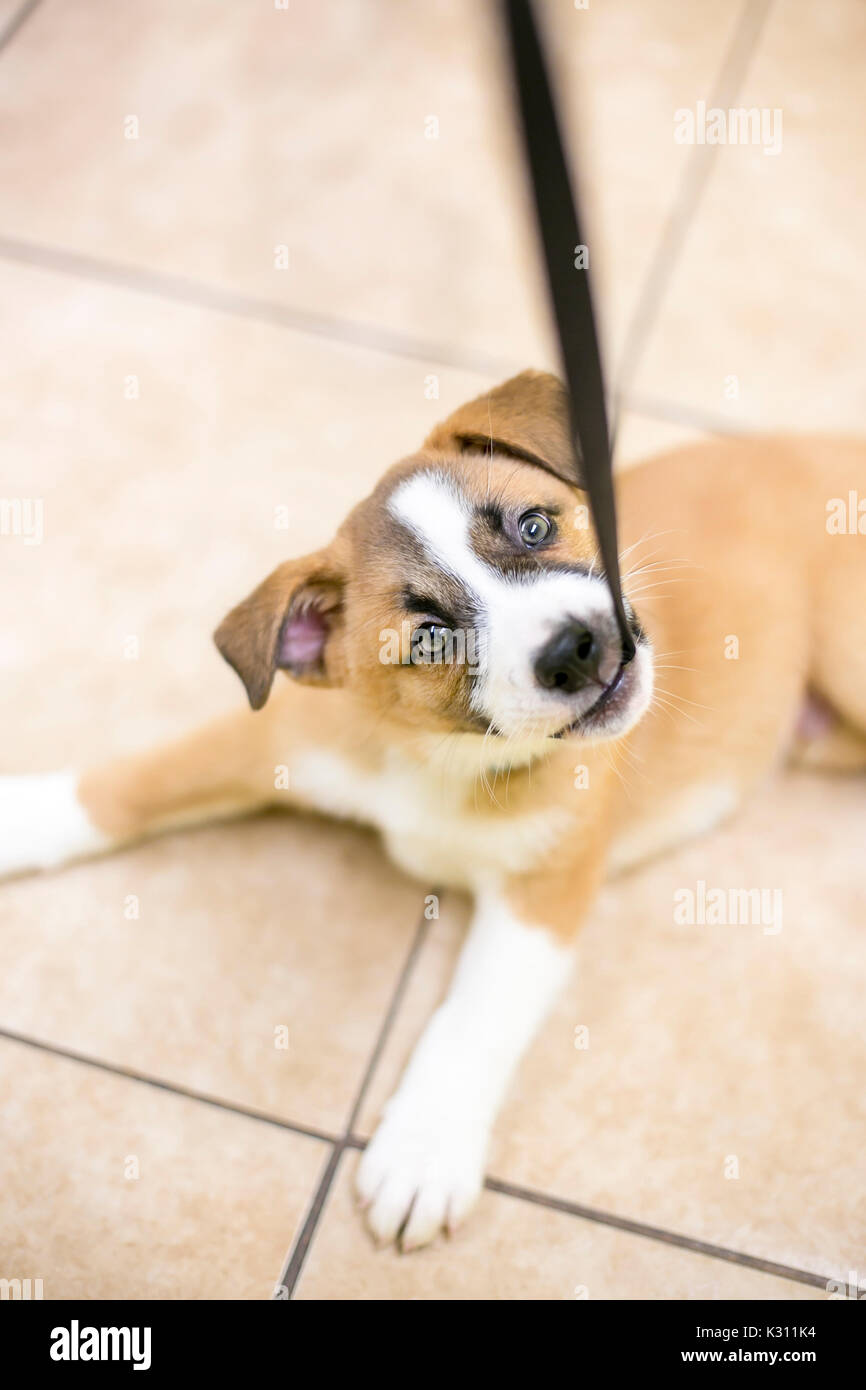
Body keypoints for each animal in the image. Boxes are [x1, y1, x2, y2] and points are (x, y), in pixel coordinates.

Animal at [1, 369, 866, 1251]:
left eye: (534, 525)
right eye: (428, 639)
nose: (576, 647)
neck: (441, 757)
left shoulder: (541, 892)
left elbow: (473, 1016)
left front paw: (423, 1148)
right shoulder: (272, 735)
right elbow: (135, 779)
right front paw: (24, 816)